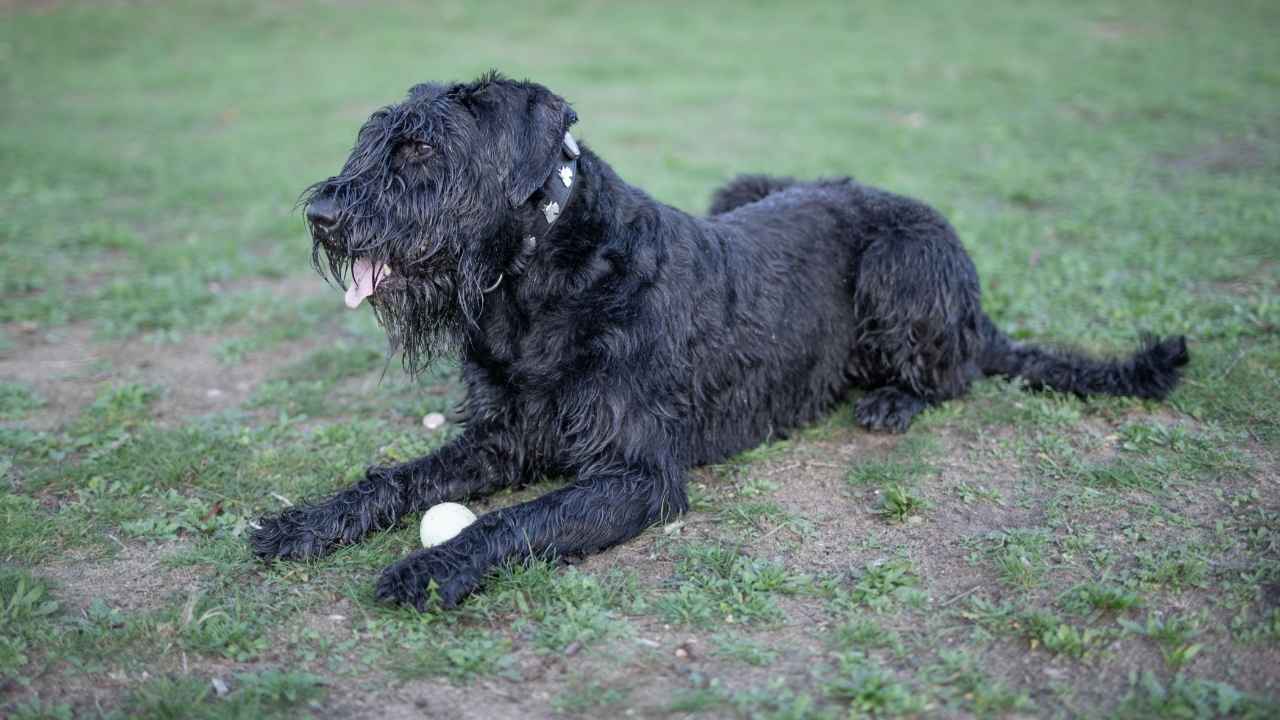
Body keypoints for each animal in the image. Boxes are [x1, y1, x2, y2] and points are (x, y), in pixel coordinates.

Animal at [249, 73, 1187, 604]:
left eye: (420, 148)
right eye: (375, 137)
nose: (322, 212)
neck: (539, 283)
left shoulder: (638, 476)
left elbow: (515, 522)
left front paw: (430, 569)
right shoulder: (502, 438)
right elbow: (398, 477)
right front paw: (306, 522)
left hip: (902, 261)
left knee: (952, 373)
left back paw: (892, 401)